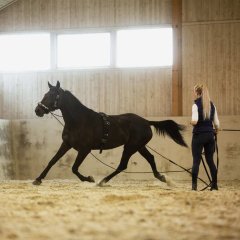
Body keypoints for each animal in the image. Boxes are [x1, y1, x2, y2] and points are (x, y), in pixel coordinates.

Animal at [33, 81, 188, 187]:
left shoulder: (84, 149)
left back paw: (103, 181)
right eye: (45, 94)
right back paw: (161, 177)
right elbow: (52, 161)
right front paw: (38, 179)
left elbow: (74, 168)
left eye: (52, 95)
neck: (79, 120)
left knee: (123, 165)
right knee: (150, 158)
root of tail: (146, 122)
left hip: (131, 147)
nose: (37, 110)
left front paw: (89, 179)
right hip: (139, 146)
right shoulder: (66, 144)